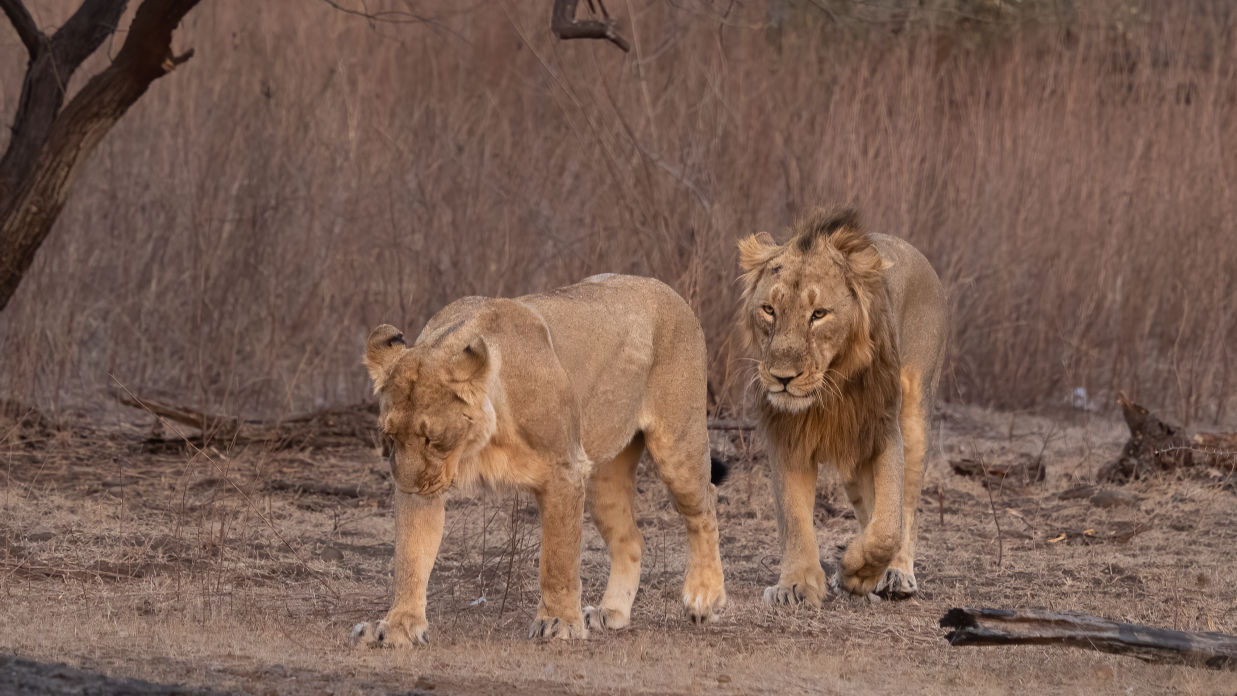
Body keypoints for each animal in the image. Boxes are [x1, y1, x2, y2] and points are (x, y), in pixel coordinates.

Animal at [351, 273, 722, 647]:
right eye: (390, 436)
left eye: (432, 438)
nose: (407, 485)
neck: (480, 441)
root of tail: (668, 290)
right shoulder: (429, 482)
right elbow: (411, 557)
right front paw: (398, 627)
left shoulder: (564, 470)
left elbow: (557, 560)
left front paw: (559, 621)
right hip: (603, 479)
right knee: (631, 539)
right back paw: (611, 612)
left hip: (677, 446)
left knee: (704, 506)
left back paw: (704, 596)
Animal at [732, 208, 945, 605]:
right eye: (769, 310)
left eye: (819, 314)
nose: (782, 377)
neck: (828, 392)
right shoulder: (788, 436)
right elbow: (795, 516)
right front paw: (796, 585)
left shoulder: (883, 428)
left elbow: (889, 524)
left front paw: (857, 571)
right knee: (866, 505)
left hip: (915, 415)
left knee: (906, 506)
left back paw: (896, 574)